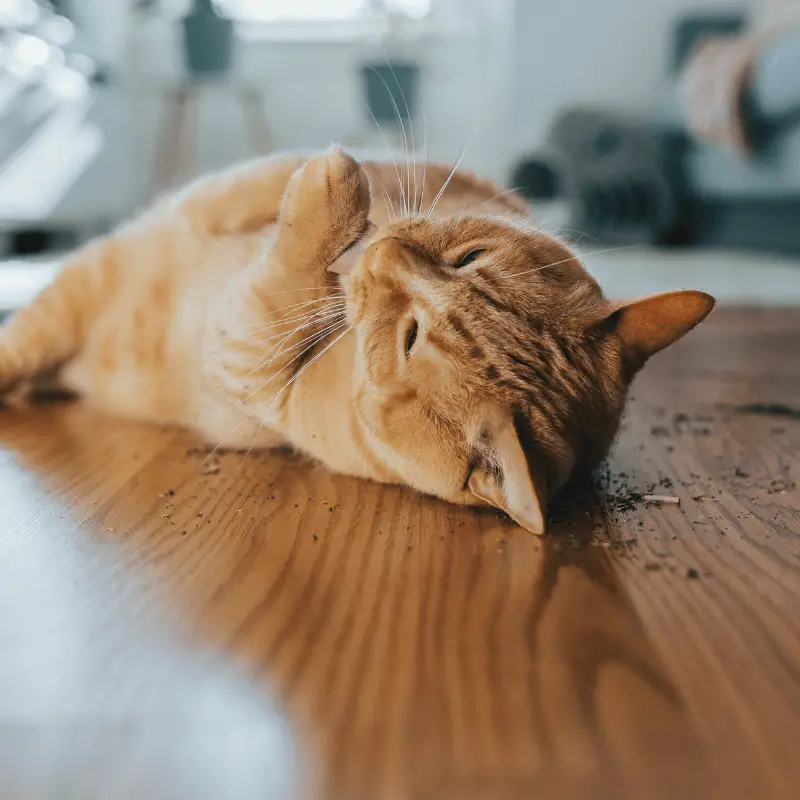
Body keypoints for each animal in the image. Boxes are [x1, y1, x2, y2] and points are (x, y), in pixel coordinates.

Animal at [0, 147, 716, 536]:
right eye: (470, 257)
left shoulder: (249, 359)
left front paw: (326, 191)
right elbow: (265, 181)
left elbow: (276, 283)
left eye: (410, 338)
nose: (386, 252)